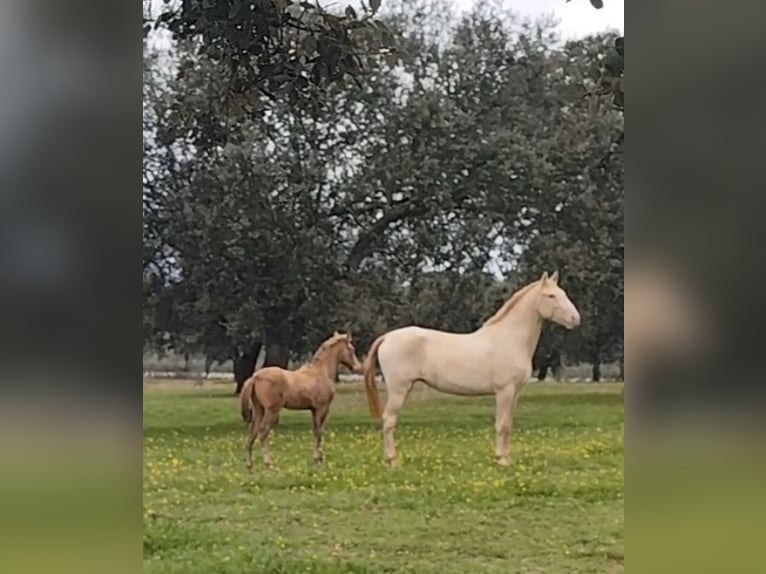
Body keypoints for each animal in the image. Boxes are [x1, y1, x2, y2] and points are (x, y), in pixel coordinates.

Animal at [240, 331, 362, 471]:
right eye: (351, 349)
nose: (358, 367)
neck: (320, 372)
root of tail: (256, 376)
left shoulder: (313, 410)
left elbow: (315, 431)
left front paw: (316, 460)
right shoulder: (322, 409)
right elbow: (319, 433)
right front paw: (319, 462)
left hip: (258, 409)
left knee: (251, 433)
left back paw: (250, 467)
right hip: (272, 411)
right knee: (262, 432)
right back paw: (269, 465)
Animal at [362, 271, 581, 467]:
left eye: (563, 293)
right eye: (551, 296)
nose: (575, 319)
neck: (510, 339)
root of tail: (387, 337)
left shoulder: (515, 393)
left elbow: (508, 425)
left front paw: (507, 458)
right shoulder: (504, 391)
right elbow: (501, 425)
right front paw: (501, 460)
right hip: (399, 390)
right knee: (389, 421)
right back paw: (393, 461)